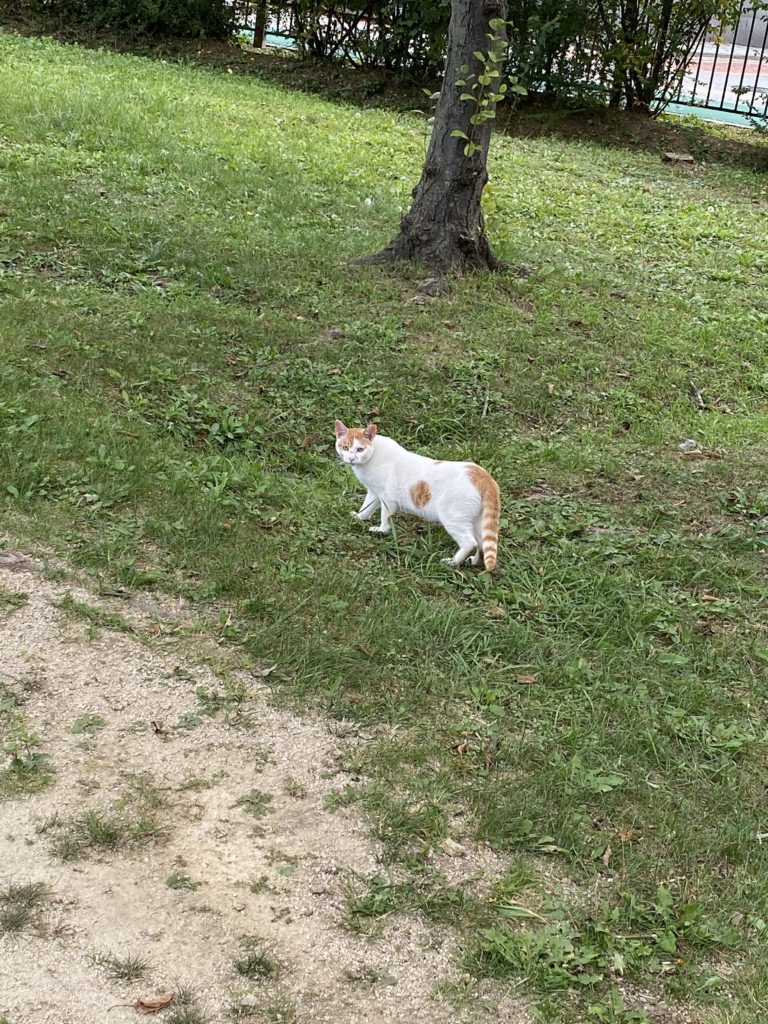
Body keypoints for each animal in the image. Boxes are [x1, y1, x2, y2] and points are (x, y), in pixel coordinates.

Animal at [333, 419, 501, 573]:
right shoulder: (374, 492)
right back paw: (475, 561)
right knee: (482, 544)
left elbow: (384, 517)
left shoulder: (387, 498)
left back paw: (452, 562)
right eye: (345, 447)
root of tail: (483, 476)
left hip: (453, 517)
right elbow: (366, 507)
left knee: (469, 542)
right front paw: (359, 517)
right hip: (477, 521)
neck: (373, 455)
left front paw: (381, 530)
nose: (352, 458)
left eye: (360, 449)